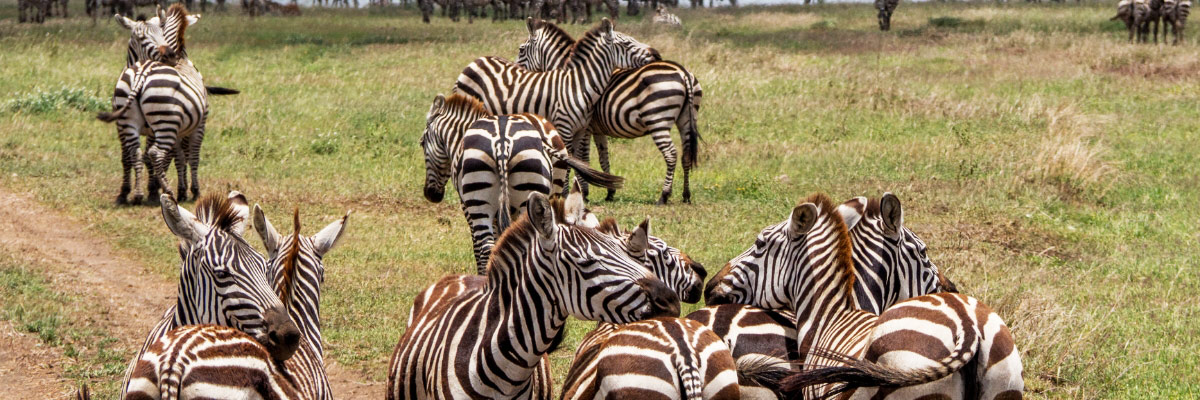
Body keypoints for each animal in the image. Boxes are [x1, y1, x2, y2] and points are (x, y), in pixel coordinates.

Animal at [99, 5, 211, 205]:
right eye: (141, 38)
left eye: (161, 34)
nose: (170, 55)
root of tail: (141, 73)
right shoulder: (198, 125)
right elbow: (192, 157)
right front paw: (191, 190)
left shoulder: (123, 126)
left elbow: (132, 157)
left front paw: (132, 190)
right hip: (165, 122)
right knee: (156, 153)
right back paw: (167, 191)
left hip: (132, 122)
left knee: (136, 152)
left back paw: (137, 194)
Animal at [421, 93, 625, 274]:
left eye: (422, 142)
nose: (431, 195)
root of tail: (502, 142)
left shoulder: (467, 206)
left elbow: (481, 246)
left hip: (480, 202)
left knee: (488, 246)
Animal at [516, 19, 702, 204]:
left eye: (521, 49)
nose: (656, 54)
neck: (575, 78)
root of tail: (683, 72)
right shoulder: (598, 130)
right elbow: (603, 157)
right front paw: (610, 191)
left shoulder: (585, 128)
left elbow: (582, 158)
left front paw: (584, 191)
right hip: (687, 119)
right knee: (686, 155)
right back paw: (686, 195)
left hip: (657, 120)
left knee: (671, 154)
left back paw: (664, 195)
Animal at [704, 193, 1024, 400]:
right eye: (924, 252)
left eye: (759, 243)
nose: (709, 287)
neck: (831, 313)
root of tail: (967, 326)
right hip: (1005, 380)